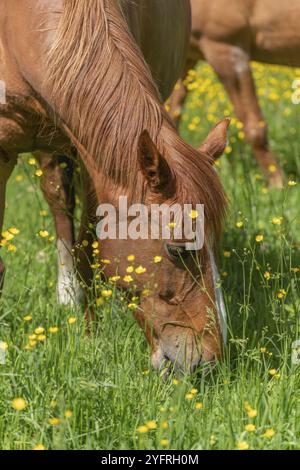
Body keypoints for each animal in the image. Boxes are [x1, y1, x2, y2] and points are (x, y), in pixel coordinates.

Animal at [0, 0, 227, 374]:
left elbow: (88, 254)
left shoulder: (95, 159)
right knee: (57, 197)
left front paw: (90, 337)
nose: (209, 360)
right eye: (177, 250)